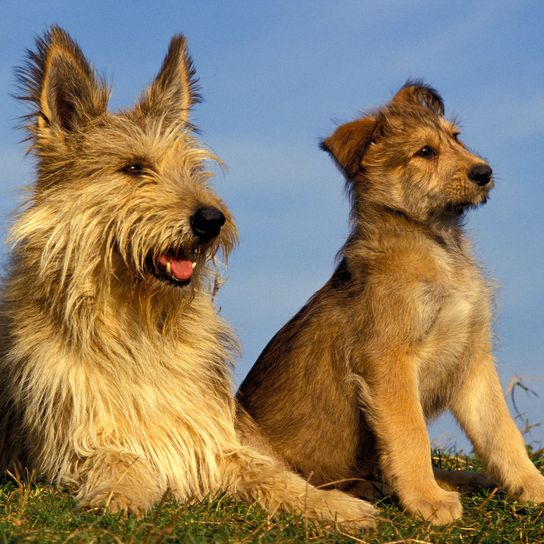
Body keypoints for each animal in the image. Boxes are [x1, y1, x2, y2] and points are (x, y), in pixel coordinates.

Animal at [0, 26, 376, 532]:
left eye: (192, 169)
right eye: (134, 167)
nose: (211, 220)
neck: (137, 326)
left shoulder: (212, 436)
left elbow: (272, 474)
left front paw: (334, 506)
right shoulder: (73, 438)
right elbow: (120, 458)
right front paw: (120, 494)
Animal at [237, 81, 544, 524]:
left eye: (456, 137)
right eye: (424, 152)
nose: (483, 172)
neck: (437, 242)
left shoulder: (472, 359)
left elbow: (501, 431)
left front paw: (531, 484)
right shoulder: (389, 360)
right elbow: (410, 435)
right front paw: (427, 499)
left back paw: (461, 479)